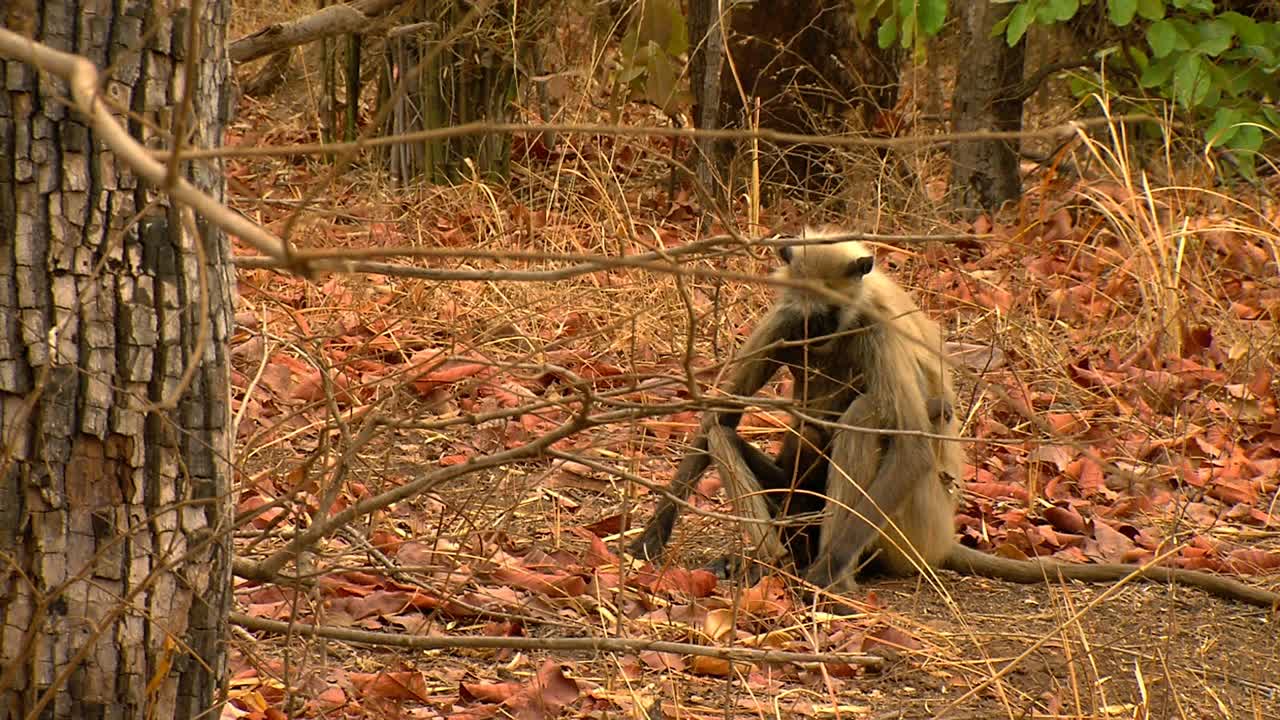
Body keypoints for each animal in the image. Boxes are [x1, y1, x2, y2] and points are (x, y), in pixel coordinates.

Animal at [632, 226, 1280, 607]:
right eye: (810, 315)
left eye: (832, 314)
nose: (816, 334)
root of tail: (942, 539)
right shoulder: (784, 320)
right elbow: (717, 415)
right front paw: (649, 537)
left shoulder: (876, 327)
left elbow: (915, 444)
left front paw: (828, 573)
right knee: (728, 432)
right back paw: (764, 561)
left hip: (907, 528)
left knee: (870, 416)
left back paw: (829, 572)